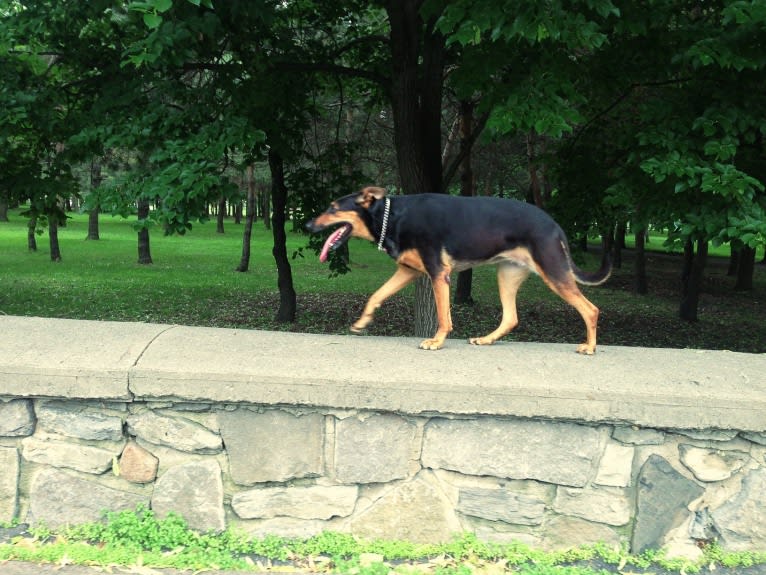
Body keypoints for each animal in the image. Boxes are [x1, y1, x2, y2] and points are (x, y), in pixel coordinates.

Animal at [306, 187, 612, 354]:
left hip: (554, 273)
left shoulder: (438, 273)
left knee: (590, 309)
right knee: (511, 317)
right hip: (507, 275)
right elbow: (376, 295)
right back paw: (487, 339)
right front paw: (363, 322)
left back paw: (590, 347)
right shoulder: (408, 271)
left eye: (333, 208)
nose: (308, 225)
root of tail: (555, 225)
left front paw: (437, 341)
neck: (391, 216)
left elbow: (444, 316)